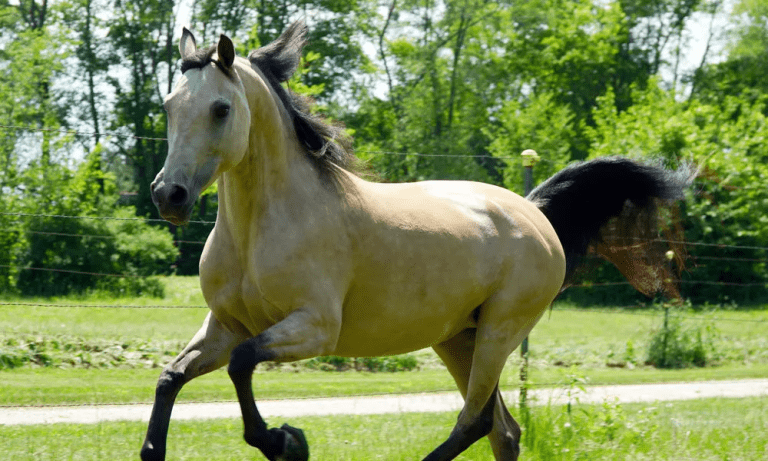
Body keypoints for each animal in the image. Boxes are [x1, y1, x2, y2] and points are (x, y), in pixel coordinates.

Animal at [143, 21, 692, 461]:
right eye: (169, 105)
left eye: (220, 109)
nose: (169, 195)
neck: (260, 227)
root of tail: (535, 212)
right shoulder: (225, 326)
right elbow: (171, 377)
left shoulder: (314, 327)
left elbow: (241, 366)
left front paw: (287, 442)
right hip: (458, 338)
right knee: (504, 430)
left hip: (499, 331)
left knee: (475, 422)